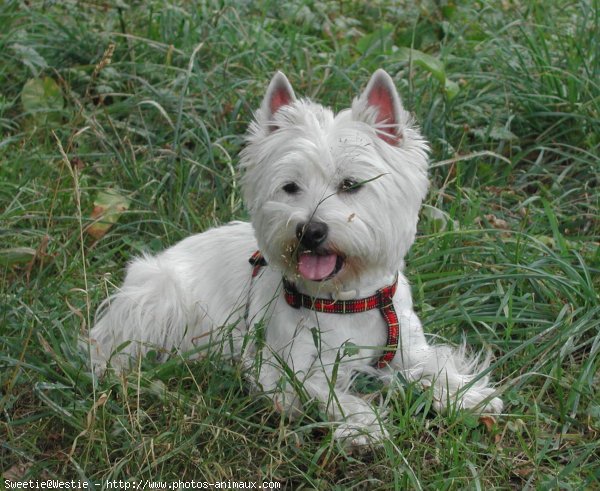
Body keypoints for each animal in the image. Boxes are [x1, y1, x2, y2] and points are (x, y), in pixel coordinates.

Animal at [88, 70, 502, 446]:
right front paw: (364, 424)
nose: (310, 230)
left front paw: (468, 394)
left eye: (351, 184)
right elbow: (325, 390)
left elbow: (432, 364)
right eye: (290, 187)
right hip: (159, 297)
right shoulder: (286, 363)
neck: (347, 300)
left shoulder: (407, 347)